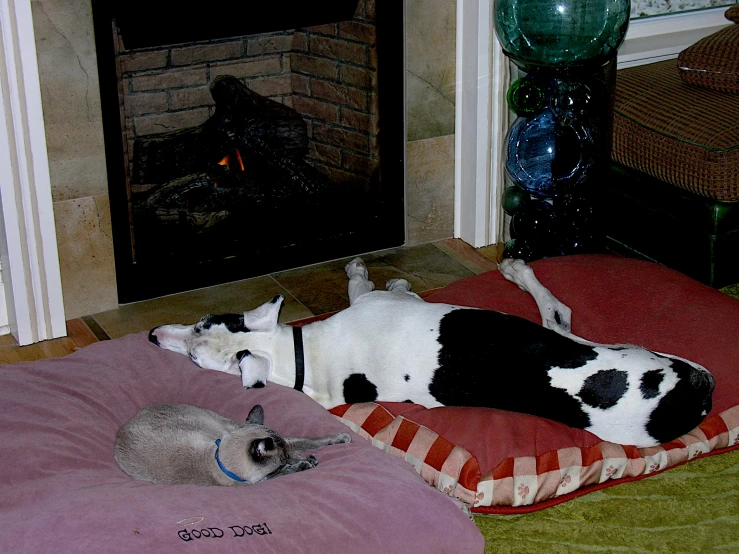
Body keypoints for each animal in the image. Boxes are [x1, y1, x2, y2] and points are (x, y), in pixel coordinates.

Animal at [147, 256, 712, 446]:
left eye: (202, 325)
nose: (152, 338)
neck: (305, 357)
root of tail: (694, 398)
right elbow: (367, 284)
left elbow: (366, 285)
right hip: (590, 343)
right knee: (558, 312)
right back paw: (517, 270)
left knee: (558, 311)